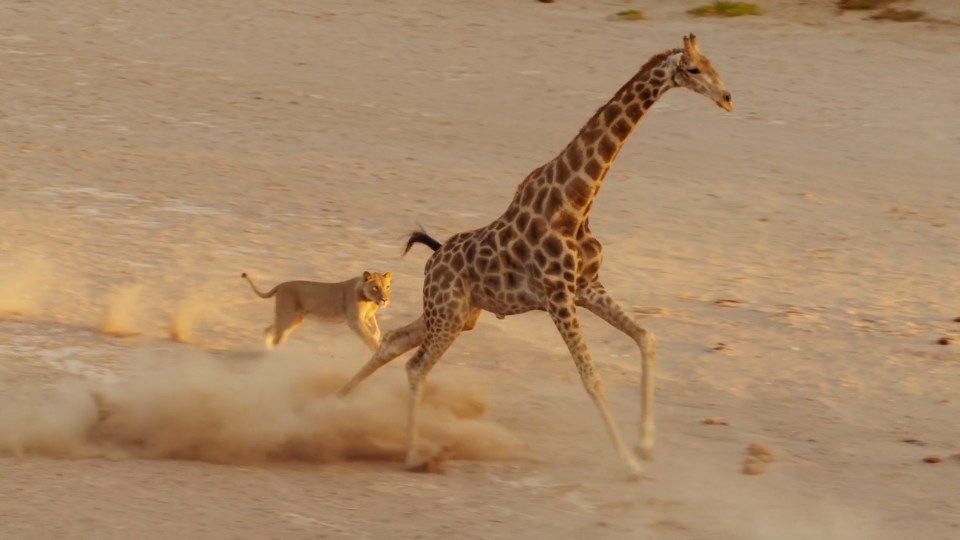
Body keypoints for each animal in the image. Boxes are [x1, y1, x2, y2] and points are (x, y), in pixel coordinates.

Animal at [338, 33, 736, 478]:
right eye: (694, 69)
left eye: (714, 64)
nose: (727, 98)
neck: (576, 202)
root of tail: (434, 258)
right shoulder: (558, 296)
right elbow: (591, 377)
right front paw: (631, 463)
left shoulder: (586, 286)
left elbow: (646, 338)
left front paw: (646, 446)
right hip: (448, 314)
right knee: (416, 366)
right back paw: (410, 453)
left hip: (457, 314)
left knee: (393, 341)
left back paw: (335, 402)